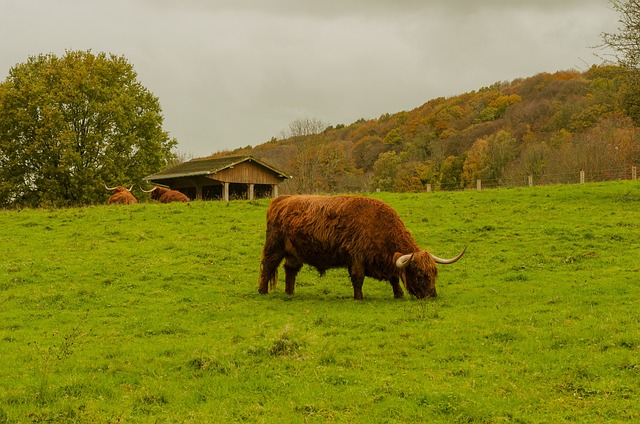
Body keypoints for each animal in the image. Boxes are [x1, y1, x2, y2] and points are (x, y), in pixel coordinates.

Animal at [258, 194, 464, 300]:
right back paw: (262, 291)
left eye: (434, 273)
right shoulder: (356, 256)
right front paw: (359, 297)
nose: (432, 295)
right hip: (274, 246)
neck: (380, 226)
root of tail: (282, 199)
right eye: (420, 275)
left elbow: (394, 278)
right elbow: (358, 278)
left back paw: (290, 292)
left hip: (294, 252)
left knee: (290, 269)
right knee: (267, 266)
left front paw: (398, 295)